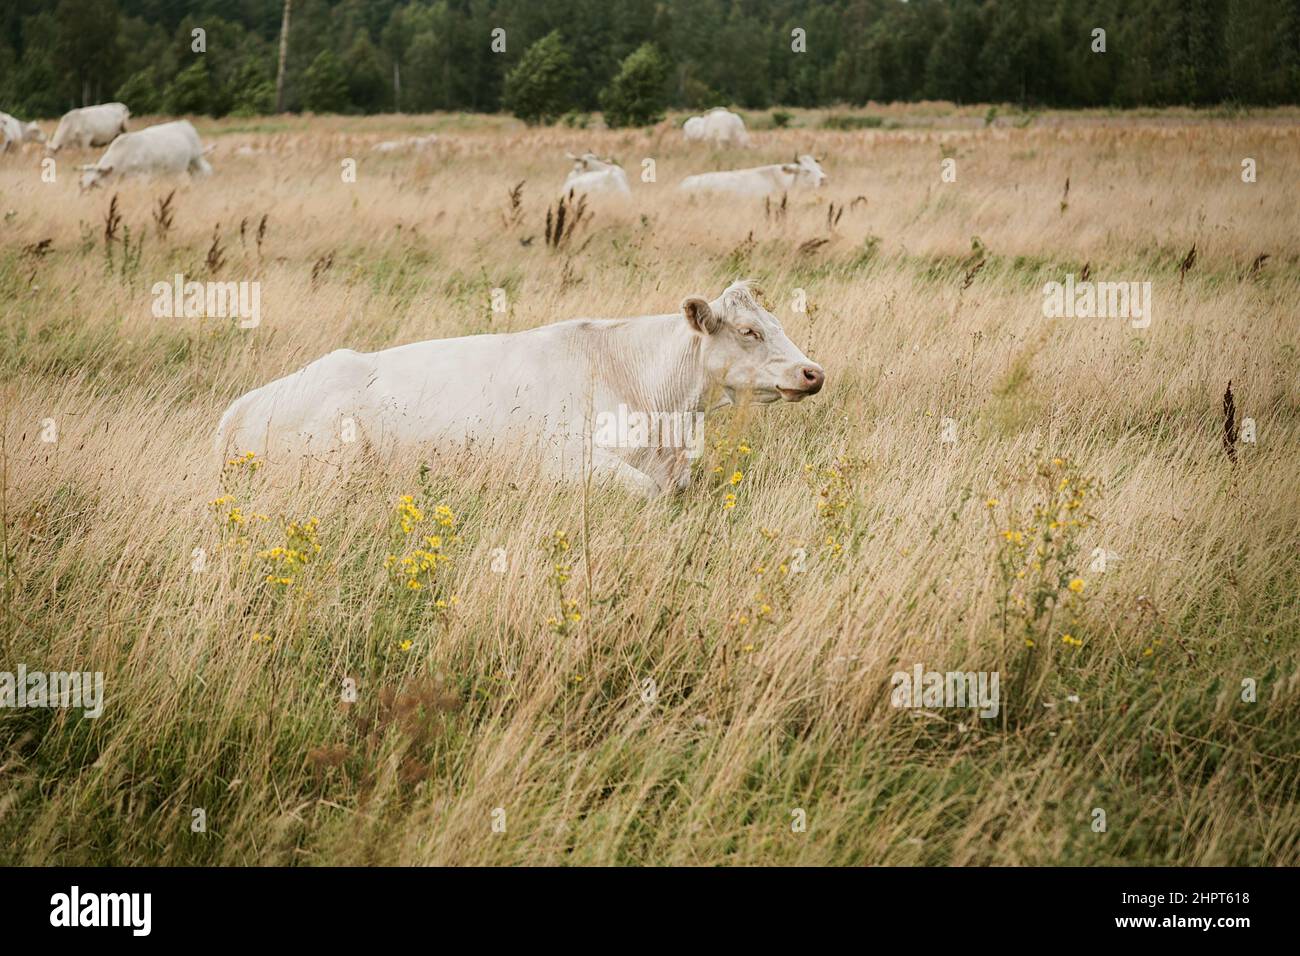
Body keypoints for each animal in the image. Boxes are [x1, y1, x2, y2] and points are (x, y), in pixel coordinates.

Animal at [79, 119, 213, 191]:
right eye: (82, 182)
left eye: (94, 182)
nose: (84, 194)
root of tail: (184, 123)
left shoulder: (144, 176)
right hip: (186, 164)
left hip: (196, 158)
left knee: (206, 170)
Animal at [211, 280, 821, 496]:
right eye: (748, 331)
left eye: (776, 322)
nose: (812, 372)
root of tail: (245, 405)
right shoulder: (564, 458)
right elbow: (646, 493)